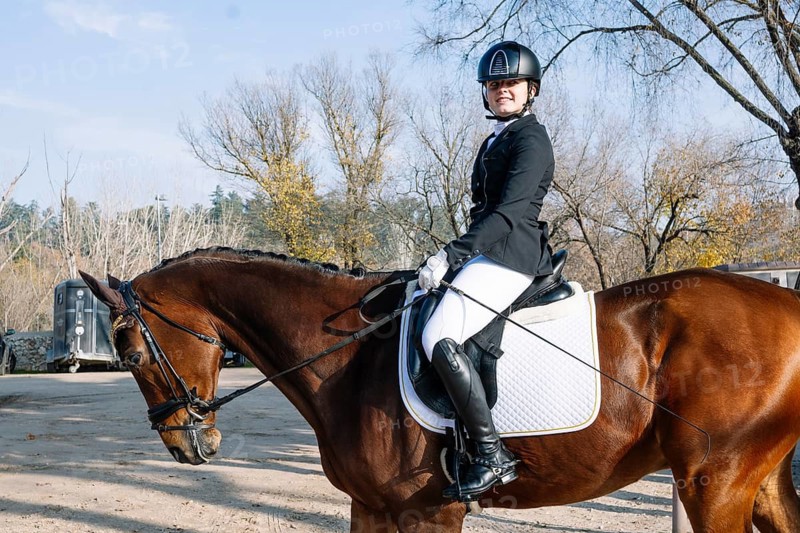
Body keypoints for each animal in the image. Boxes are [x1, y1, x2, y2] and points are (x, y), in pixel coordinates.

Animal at [79, 247, 800, 532]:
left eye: (131, 351)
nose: (187, 445)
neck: (352, 354)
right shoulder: (371, 507)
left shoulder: (430, 511)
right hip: (754, 476)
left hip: (715, 481)